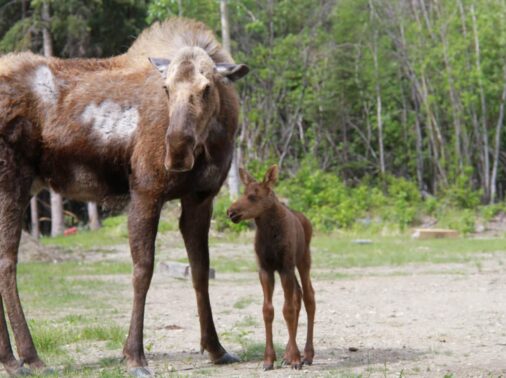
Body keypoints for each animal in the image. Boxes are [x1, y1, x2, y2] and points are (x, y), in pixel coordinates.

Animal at [0, 17, 249, 376]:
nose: (176, 150)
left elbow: (201, 270)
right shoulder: (145, 190)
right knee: (7, 263)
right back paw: (23, 358)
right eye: (166, 88)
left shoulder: (201, 197)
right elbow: (142, 270)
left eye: (207, 88)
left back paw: (18, 357)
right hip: (12, 182)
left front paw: (216, 348)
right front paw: (134, 355)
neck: (214, 139)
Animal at [227, 165, 314, 370]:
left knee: (309, 296)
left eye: (253, 196)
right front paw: (269, 359)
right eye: (243, 192)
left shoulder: (285, 267)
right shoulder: (265, 269)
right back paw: (289, 354)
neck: (268, 233)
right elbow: (268, 310)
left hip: (303, 259)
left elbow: (287, 310)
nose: (230, 212)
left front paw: (296, 358)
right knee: (298, 295)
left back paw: (307, 355)